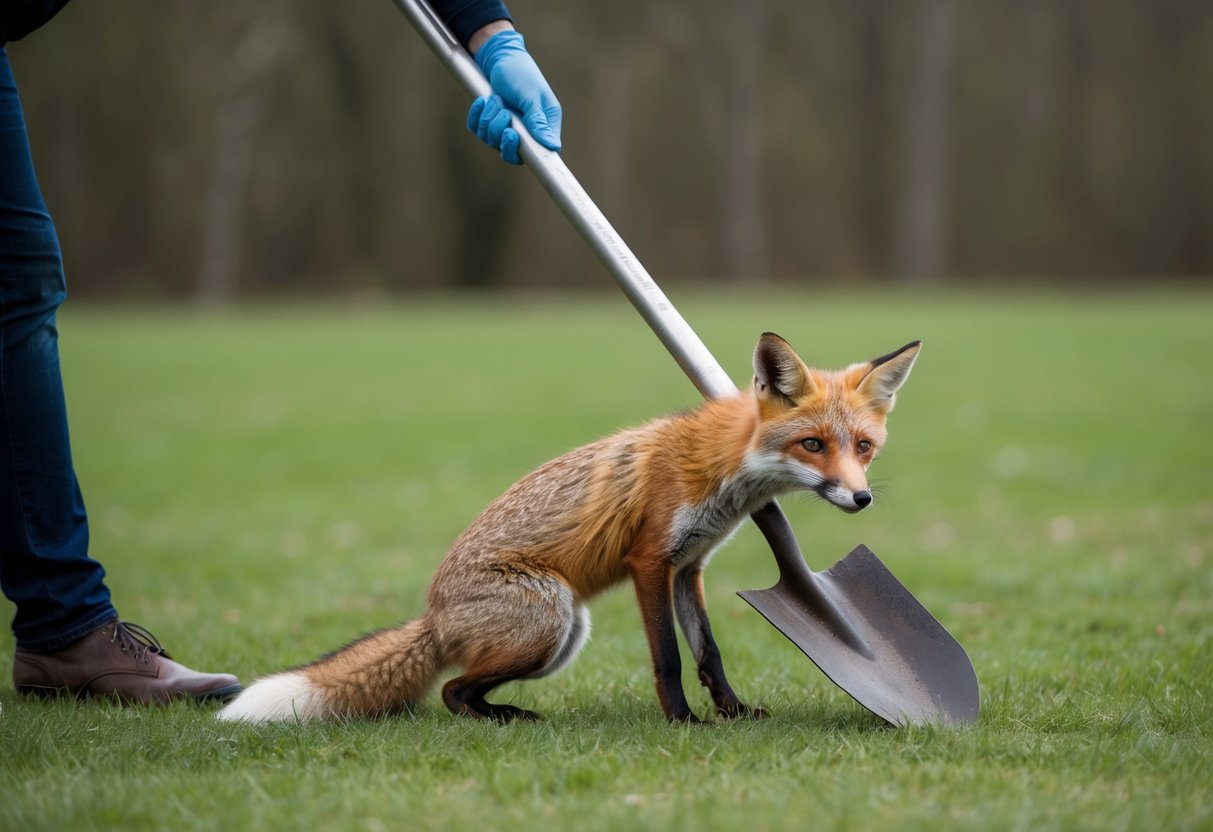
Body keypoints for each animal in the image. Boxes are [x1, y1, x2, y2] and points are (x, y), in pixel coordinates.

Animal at [218, 333, 920, 724]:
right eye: (812, 444)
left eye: (863, 447)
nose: (860, 498)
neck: (723, 471)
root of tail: (433, 616)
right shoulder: (649, 562)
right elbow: (668, 658)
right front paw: (683, 723)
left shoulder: (688, 567)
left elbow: (709, 653)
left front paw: (734, 713)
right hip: (552, 621)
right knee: (451, 691)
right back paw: (507, 718)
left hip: (563, 635)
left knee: (458, 689)